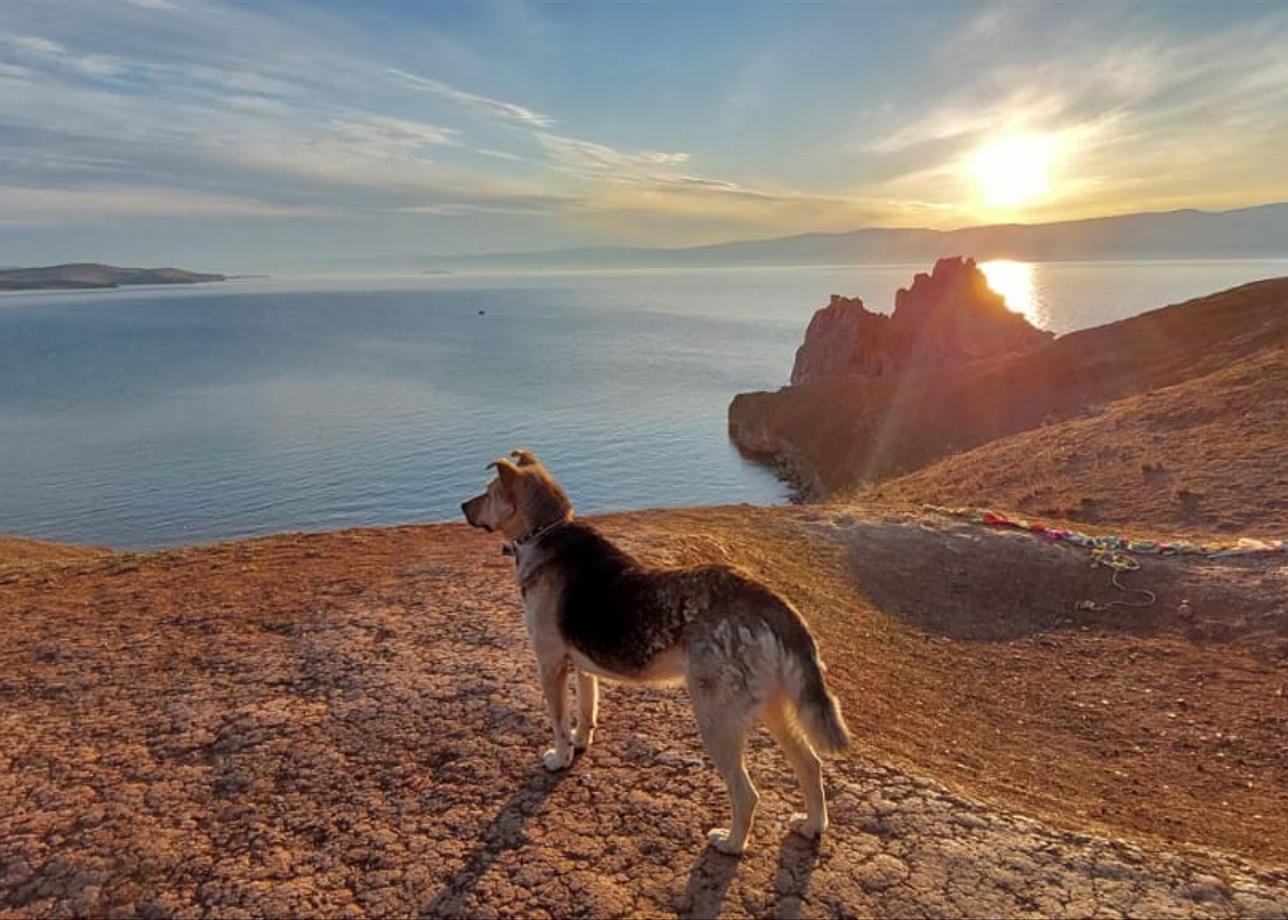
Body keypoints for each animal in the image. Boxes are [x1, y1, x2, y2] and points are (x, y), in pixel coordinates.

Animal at [458, 450, 850, 850]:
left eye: (488, 491)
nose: (462, 507)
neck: (546, 532)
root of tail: (767, 600)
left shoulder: (550, 665)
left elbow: (558, 720)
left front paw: (560, 757)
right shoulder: (582, 667)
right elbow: (586, 711)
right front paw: (580, 744)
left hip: (716, 718)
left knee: (747, 794)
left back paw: (730, 843)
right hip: (774, 705)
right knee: (810, 763)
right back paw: (812, 824)